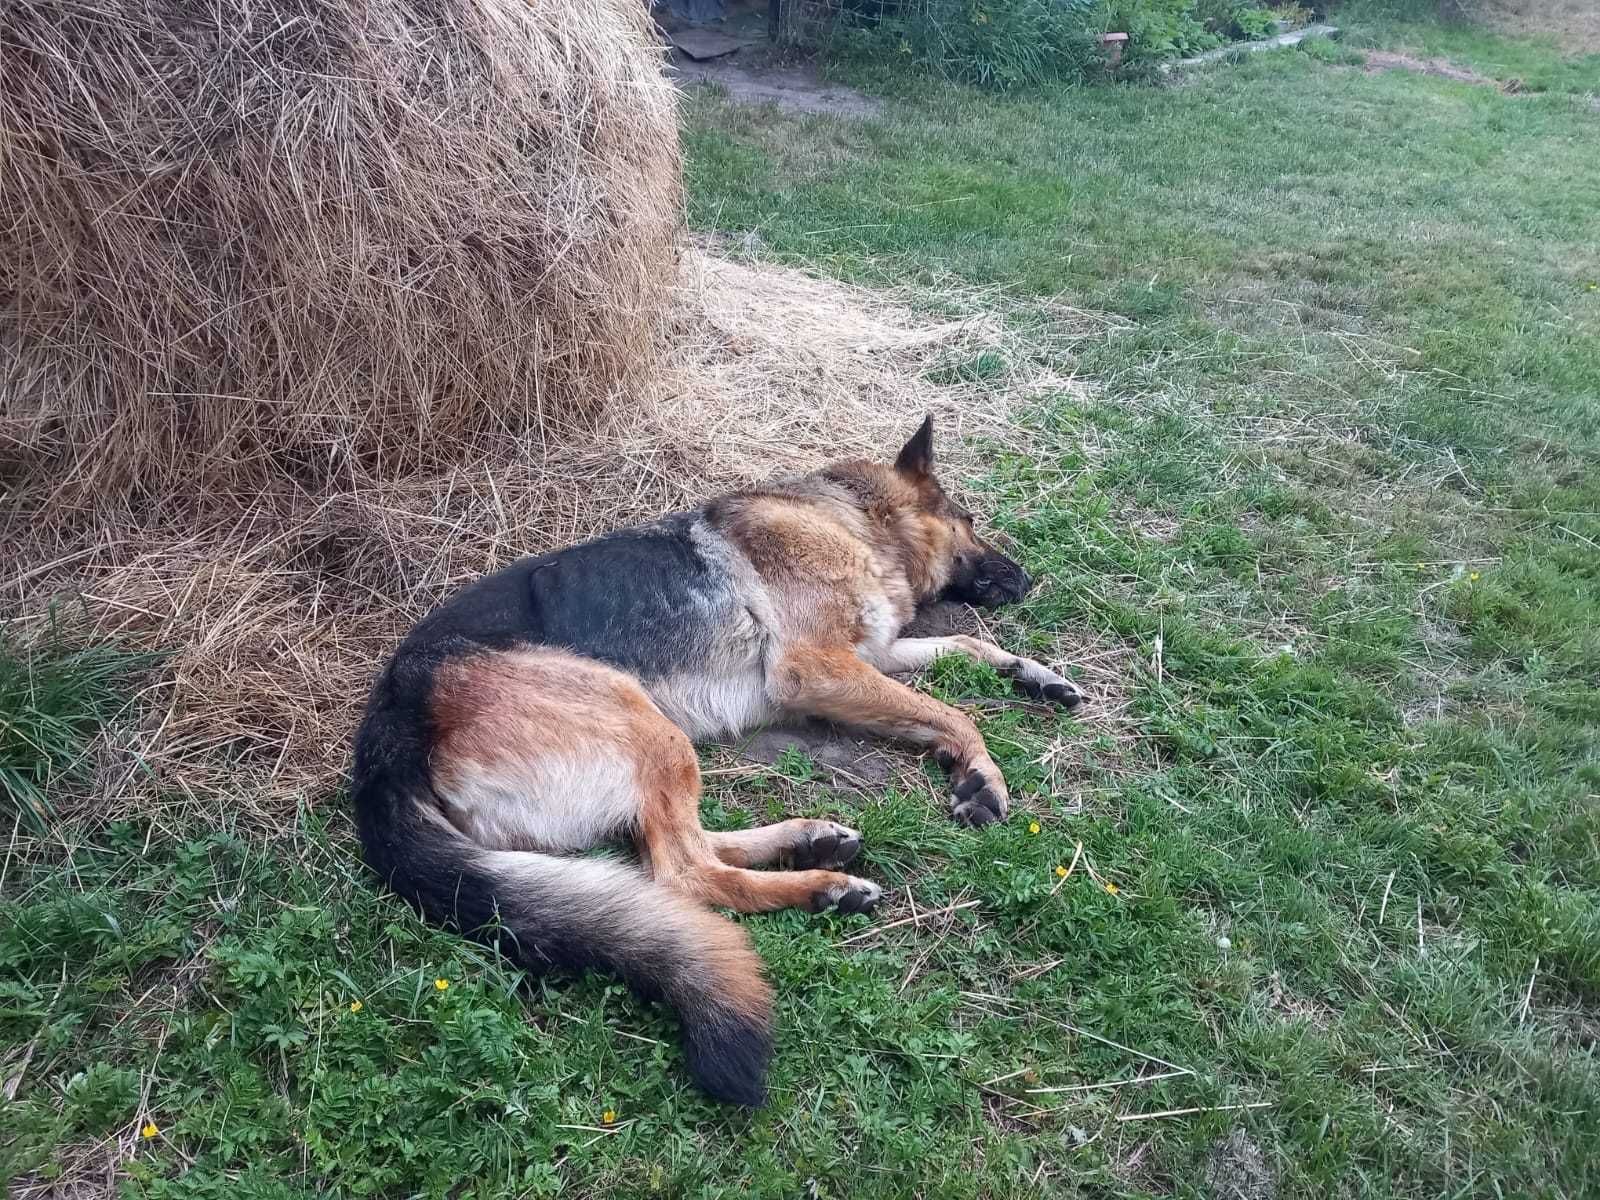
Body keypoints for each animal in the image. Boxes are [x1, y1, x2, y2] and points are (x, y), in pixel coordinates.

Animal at [350, 416, 1088, 1107]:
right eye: (971, 523)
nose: (1029, 579)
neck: (849, 517)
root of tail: (388, 730)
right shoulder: (818, 669)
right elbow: (956, 712)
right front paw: (981, 776)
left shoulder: (869, 655)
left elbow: (966, 649)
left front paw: (1036, 675)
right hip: (646, 722)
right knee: (683, 872)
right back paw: (820, 887)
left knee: (679, 846)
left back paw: (808, 840)